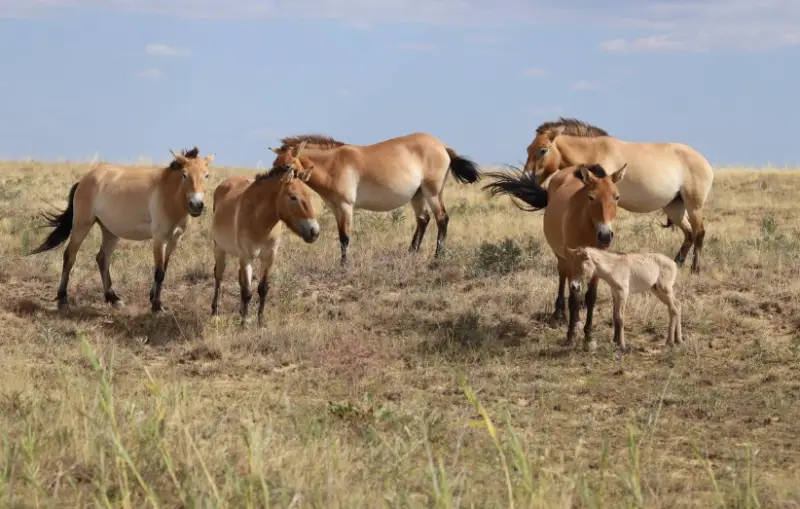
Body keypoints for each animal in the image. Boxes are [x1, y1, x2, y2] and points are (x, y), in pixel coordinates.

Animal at [28, 147, 215, 313]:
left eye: (206, 175)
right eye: (185, 175)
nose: (196, 205)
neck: (167, 194)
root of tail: (84, 180)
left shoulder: (174, 239)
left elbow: (164, 268)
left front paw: (152, 298)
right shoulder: (159, 238)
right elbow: (159, 272)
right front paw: (156, 306)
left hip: (110, 231)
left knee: (102, 258)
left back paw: (113, 298)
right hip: (82, 224)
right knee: (69, 256)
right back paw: (63, 300)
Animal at [210, 159, 320, 326]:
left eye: (309, 195)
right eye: (293, 197)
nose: (314, 231)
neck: (259, 221)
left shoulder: (269, 257)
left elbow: (262, 289)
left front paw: (260, 321)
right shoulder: (247, 257)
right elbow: (247, 292)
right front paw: (244, 323)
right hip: (219, 249)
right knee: (219, 275)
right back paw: (215, 311)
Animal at [267, 133, 482, 265]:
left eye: (287, 166)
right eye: (274, 164)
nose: (274, 188)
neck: (332, 164)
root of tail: (443, 146)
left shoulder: (345, 206)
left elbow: (345, 237)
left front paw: (344, 265)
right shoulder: (336, 207)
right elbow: (341, 236)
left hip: (433, 193)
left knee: (442, 219)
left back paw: (437, 257)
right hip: (418, 195)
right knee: (423, 220)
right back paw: (411, 254)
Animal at [484, 163, 627, 351]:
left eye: (617, 197)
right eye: (591, 197)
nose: (605, 236)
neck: (586, 227)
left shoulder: (596, 265)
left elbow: (590, 298)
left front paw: (589, 337)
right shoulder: (572, 260)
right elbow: (574, 298)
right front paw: (570, 336)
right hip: (562, 257)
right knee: (563, 276)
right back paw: (559, 314)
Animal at [522, 117, 714, 274]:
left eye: (543, 150)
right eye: (528, 149)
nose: (527, 177)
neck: (595, 151)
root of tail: (704, 161)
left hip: (694, 205)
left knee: (699, 233)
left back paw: (695, 270)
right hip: (674, 207)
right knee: (688, 234)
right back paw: (677, 264)